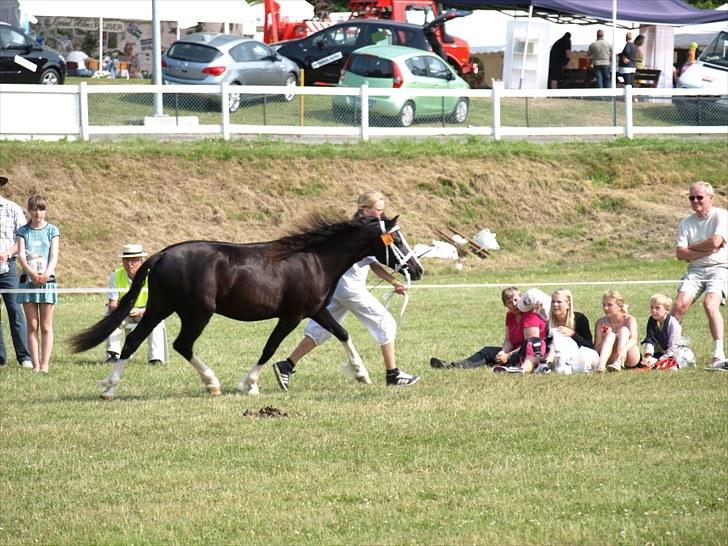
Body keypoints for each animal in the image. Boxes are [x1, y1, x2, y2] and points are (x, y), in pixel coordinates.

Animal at [70, 215, 423, 400]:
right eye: (397, 240)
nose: (417, 269)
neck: (314, 259)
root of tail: (161, 255)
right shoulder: (290, 315)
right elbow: (270, 348)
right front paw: (249, 384)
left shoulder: (315, 310)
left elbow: (342, 333)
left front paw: (362, 373)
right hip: (196, 313)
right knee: (182, 344)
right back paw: (212, 383)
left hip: (159, 308)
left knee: (132, 340)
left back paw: (109, 388)